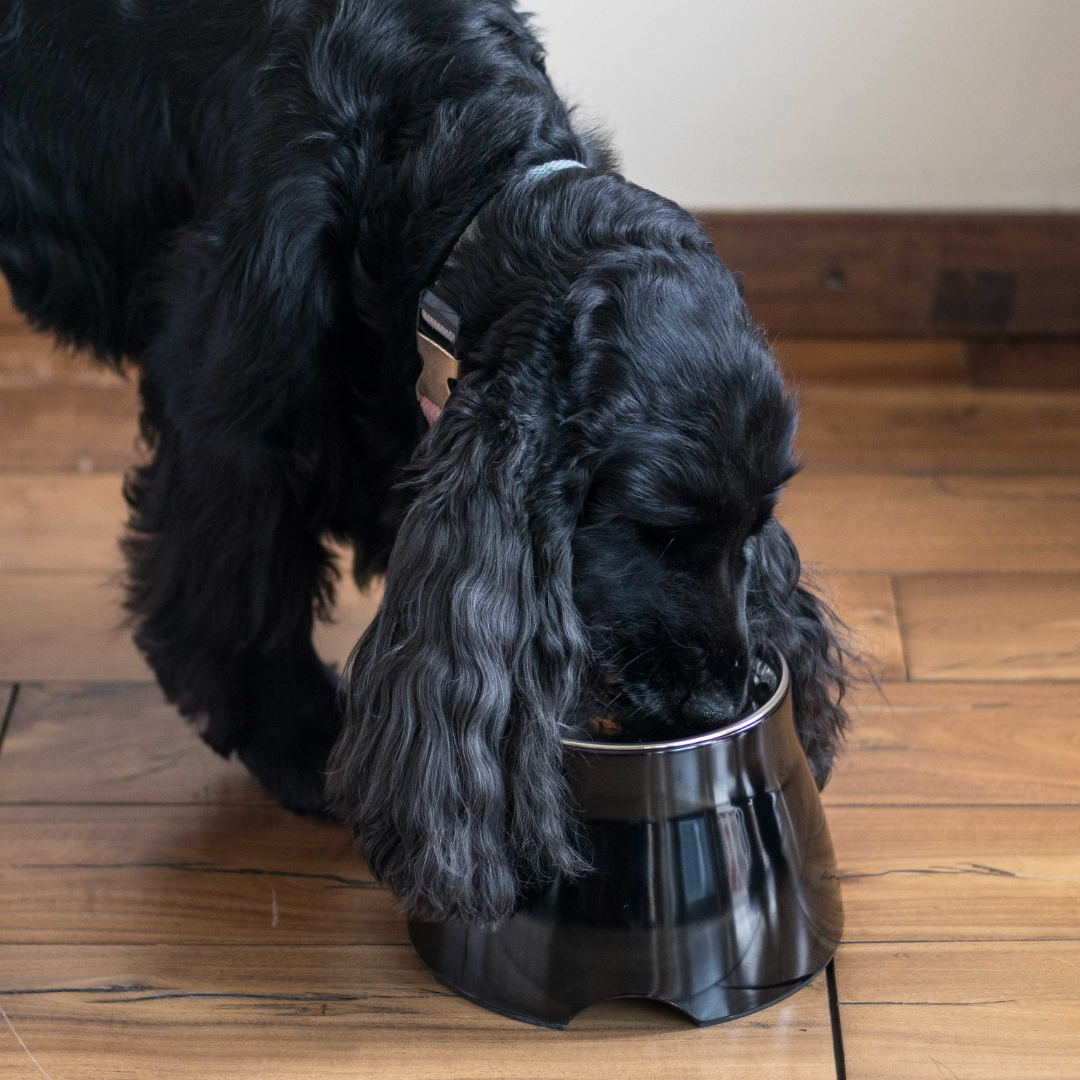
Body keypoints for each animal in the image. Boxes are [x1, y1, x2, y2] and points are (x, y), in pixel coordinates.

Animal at [2, 0, 851, 924]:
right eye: (654, 531)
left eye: (756, 528)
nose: (726, 700)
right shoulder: (234, 424)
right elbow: (249, 596)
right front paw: (297, 740)